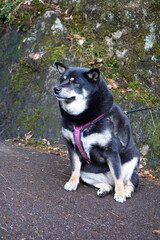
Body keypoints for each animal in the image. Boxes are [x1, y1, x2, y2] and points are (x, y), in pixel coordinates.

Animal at [53, 62, 139, 202]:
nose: (56, 89)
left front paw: (120, 194)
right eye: (62, 80)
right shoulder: (71, 146)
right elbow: (74, 168)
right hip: (86, 173)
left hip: (132, 164)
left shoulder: (111, 151)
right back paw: (104, 190)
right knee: (109, 185)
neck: (79, 119)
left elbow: (118, 176)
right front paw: (72, 183)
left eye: (75, 82)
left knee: (129, 183)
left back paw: (125, 192)